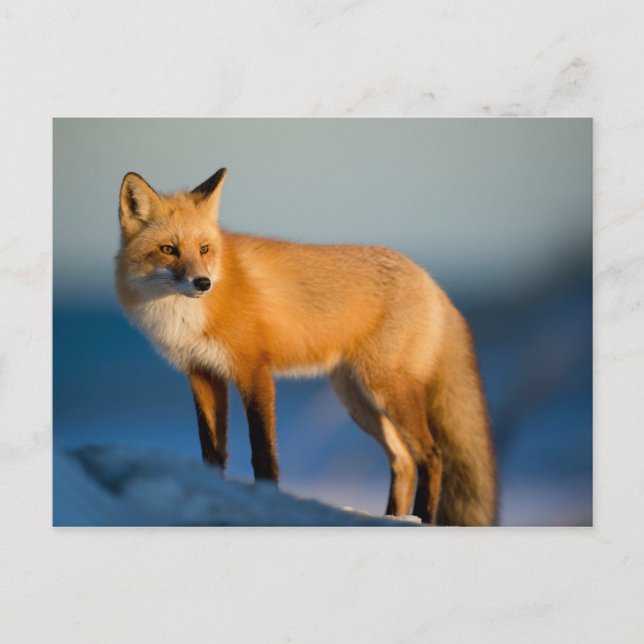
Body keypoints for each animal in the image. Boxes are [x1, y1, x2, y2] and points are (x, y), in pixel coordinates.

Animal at [115, 168, 498, 526]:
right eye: (168, 249)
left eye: (205, 249)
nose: (203, 283)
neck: (184, 316)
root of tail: (431, 281)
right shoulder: (202, 374)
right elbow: (211, 452)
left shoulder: (254, 370)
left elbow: (262, 452)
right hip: (356, 399)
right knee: (403, 460)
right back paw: (392, 517)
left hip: (386, 389)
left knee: (431, 456)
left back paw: (420, 519)